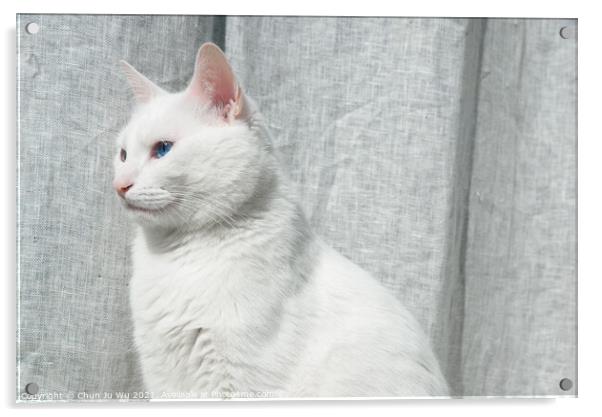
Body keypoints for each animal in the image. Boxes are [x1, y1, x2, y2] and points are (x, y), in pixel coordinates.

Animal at [115, 44, 448, 398]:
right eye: (122, 154)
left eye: (163, 149)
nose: (119, 185)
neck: (176, 257)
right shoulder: (165, 378)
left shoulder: (241, 380)